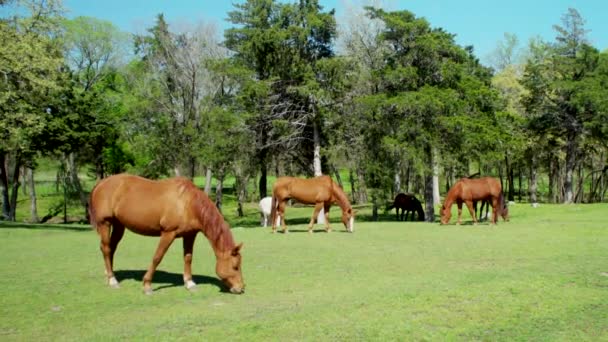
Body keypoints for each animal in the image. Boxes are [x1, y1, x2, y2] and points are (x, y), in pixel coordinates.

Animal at [88, 174, 245, 294]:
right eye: (235, 266)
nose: (241, 288)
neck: (188, 203)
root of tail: (101, 183)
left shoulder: (190, 235)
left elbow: (188, 258)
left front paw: (189, 283)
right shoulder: (168, 233)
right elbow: (157, 257)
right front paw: (147, 285)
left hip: (119, 225)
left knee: (111, 248)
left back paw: (110, 274)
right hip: (105, 223)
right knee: (106, 248)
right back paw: (112, 280)